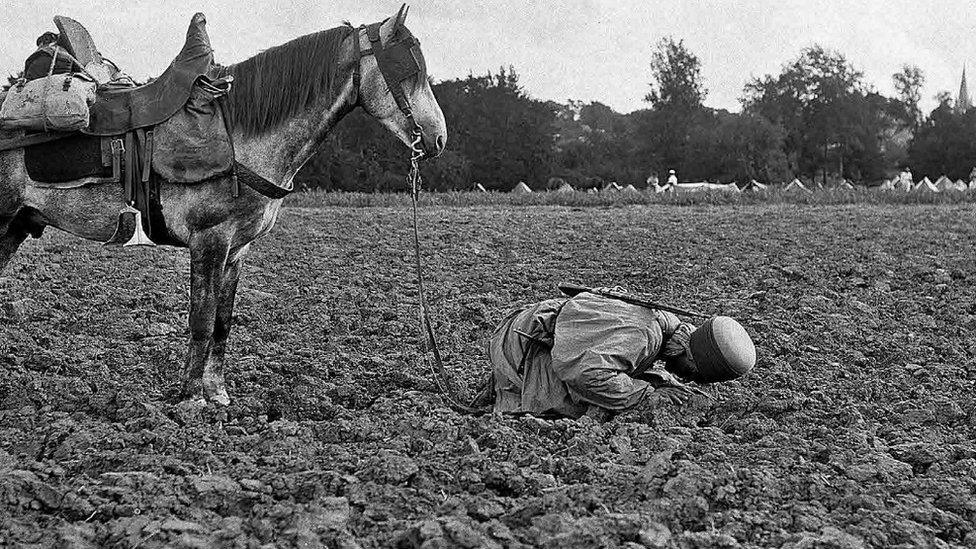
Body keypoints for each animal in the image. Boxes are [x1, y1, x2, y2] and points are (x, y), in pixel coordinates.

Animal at [0, 6, 450, 404]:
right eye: (408, 70)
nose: (438, 138)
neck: (239, 137)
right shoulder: (209, 241)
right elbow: (200, 321)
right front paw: (189, 398)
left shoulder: (237, 249)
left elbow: (222, 322)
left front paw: (216, 393)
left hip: (17, 226)